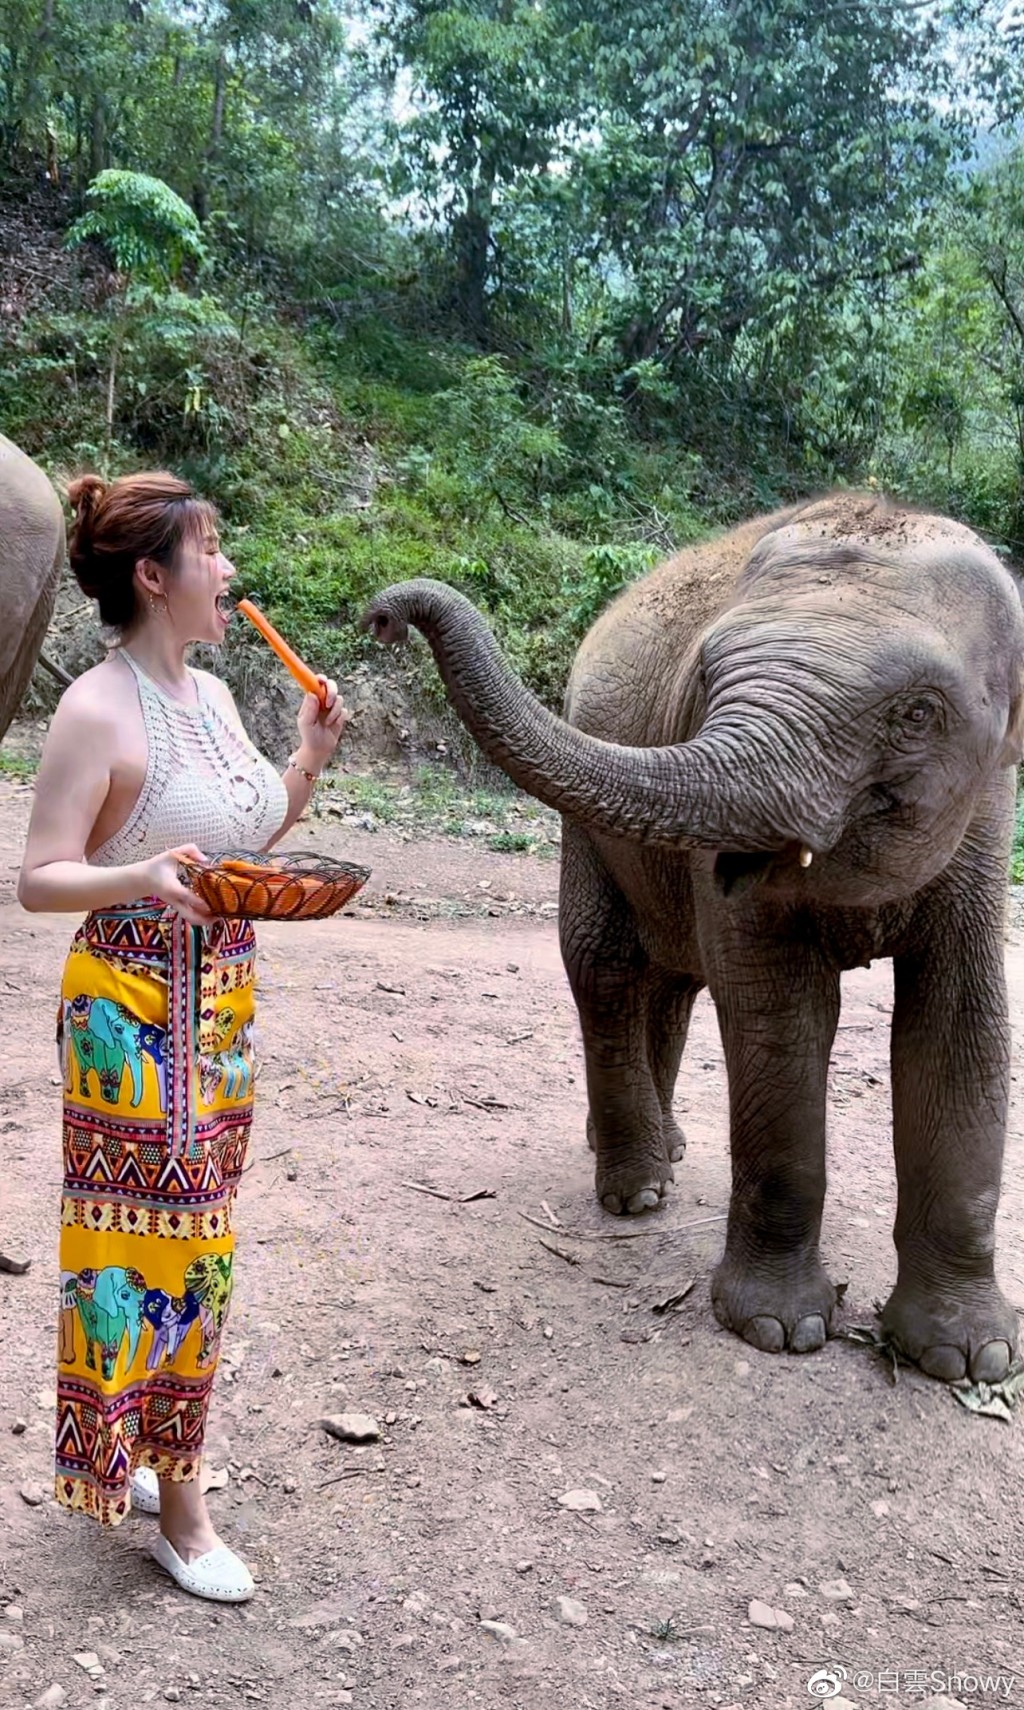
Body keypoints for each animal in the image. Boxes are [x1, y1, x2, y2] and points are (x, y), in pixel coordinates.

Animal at [362, 495, 1024, 1388]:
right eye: (706, 679)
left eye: (917, 712)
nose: (383, 617)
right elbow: (780, 1015)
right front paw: (778, 1330)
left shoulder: (986, 813)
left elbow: (958, 1022)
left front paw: (969, 1359)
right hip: (587, 831)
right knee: (605, 966)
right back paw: (638, 1190)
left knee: (672, 982)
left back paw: (665, 1150)